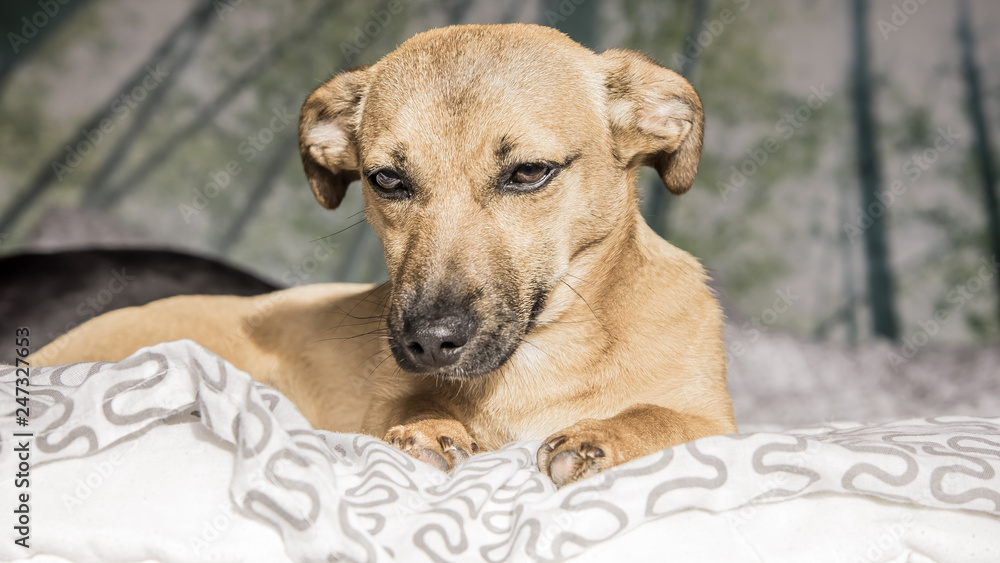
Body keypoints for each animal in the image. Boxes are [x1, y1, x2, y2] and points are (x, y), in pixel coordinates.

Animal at [31, 24, 736, 486]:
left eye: (530, 173)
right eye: (387, 180)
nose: (428, 342)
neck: (540, 355)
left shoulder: (718, 422)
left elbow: (663, 416)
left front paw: (603, 435)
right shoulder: (386, 401)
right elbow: (410, 405)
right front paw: (430, 426)